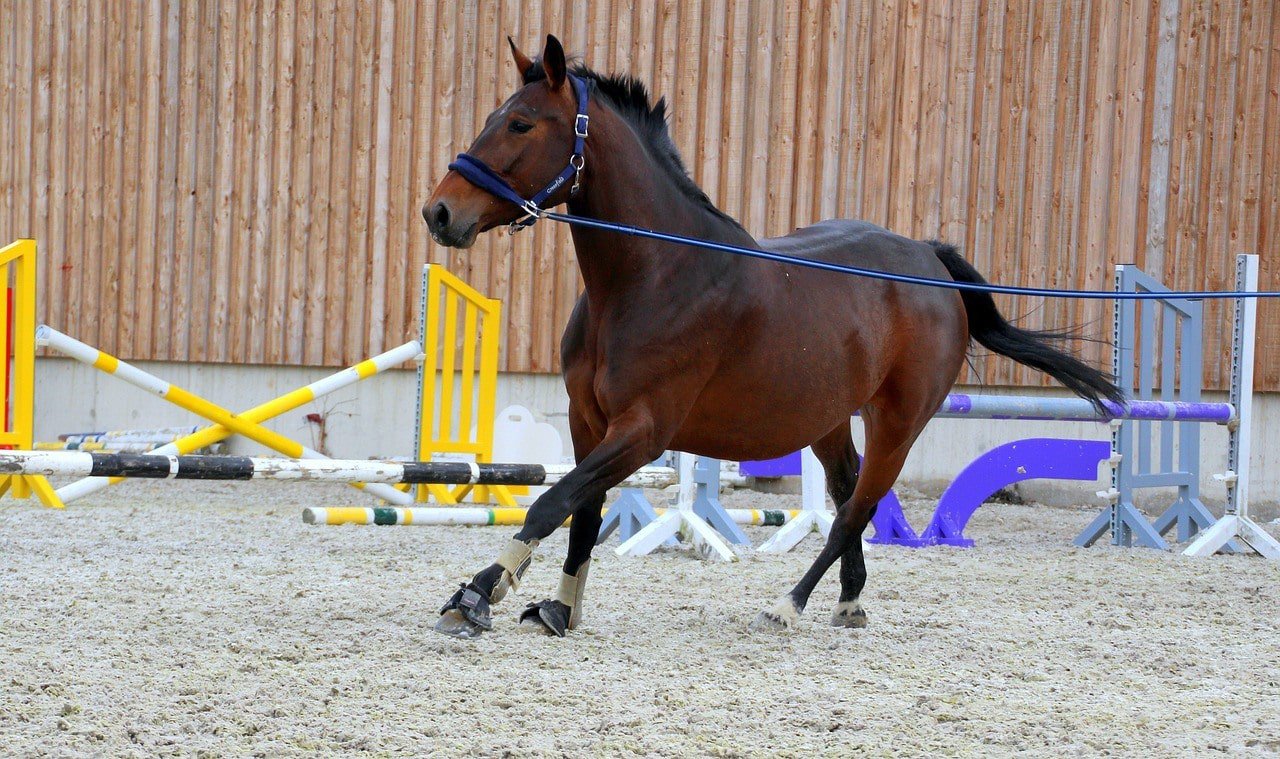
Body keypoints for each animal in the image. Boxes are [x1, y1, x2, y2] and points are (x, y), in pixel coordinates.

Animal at [422, 35, 1121, 639]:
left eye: (521, 124)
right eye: (495, 116)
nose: (440, 212)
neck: (652, 276)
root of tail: (928, 259)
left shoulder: (643, 430)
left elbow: (552, 502)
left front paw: (478, 594)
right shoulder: (587, 420)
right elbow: (582, 515)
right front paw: (559, 610)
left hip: (900, 422)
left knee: (854, 511)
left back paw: (789, 605)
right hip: (830, 420)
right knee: (848, 493)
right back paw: (849, 601)